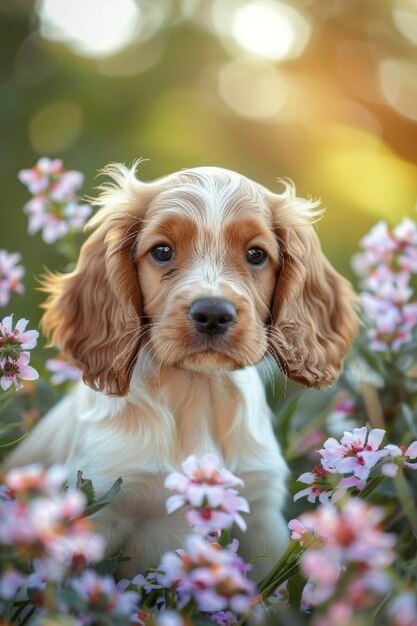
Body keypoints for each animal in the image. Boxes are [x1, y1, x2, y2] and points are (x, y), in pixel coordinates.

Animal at [6, 163, 358, 576]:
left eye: (256, 254)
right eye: (161, 251)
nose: (213, 313)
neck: (197, 392)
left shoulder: (259, 513)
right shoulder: (100, 501)